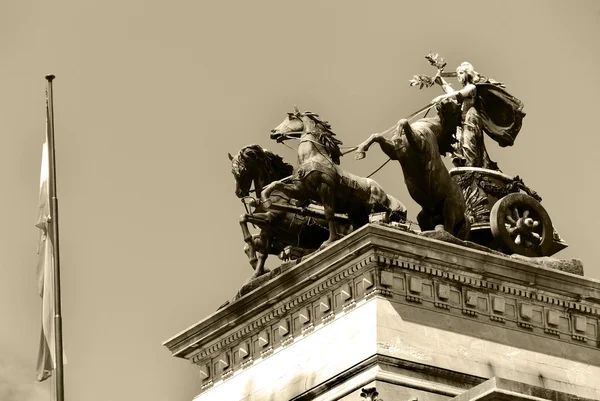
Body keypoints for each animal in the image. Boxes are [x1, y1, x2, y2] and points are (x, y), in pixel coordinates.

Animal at [264, 106, 408, 247]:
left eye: (291, 117)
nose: (273, 132)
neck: (311, 157)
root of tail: (385, 194)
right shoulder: (301, 191)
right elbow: (276, 184)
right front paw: (265, 199)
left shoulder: (325, 187)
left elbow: (329, 213)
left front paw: (330, 241)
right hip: (355, 214)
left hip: (374, 208)